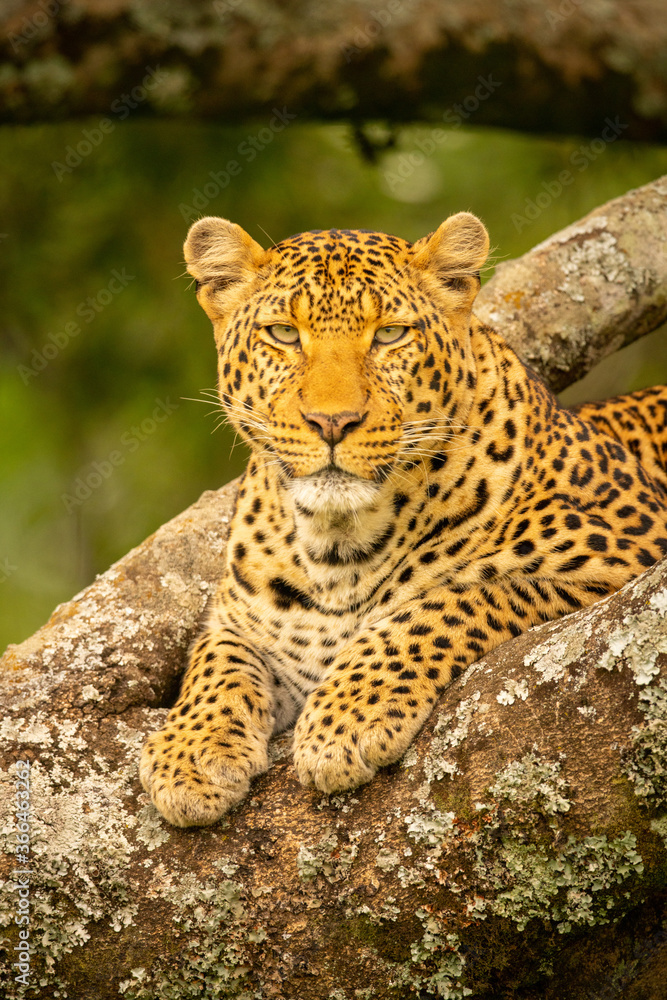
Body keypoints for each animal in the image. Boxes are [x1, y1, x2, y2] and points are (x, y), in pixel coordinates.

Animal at [140, 211, 667, 827]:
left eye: (390, 334)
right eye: (284, 334)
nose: (333, 422)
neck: (337, 545)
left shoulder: (626, 550)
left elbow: (450, 601)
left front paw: (346, 718)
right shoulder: (241, 618)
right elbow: (216, 660)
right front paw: (191, 752)